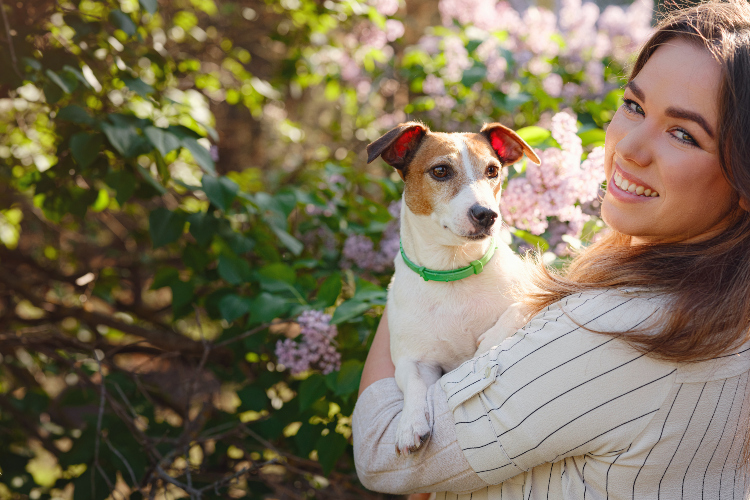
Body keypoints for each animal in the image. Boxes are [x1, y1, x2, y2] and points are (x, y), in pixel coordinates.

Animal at [368, 123, 540, 456]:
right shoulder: (413, 359)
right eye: (440, 171)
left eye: (492, 170)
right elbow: (413, 382)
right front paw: (409, 424)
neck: (453, 269)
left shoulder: (533, 287)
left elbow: (519, 307)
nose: (486, 214)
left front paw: (488, 344)